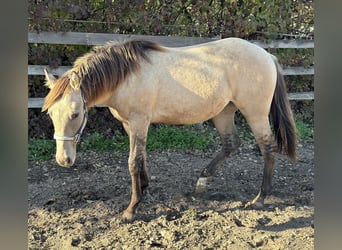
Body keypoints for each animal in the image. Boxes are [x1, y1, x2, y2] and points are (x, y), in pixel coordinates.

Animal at [42, 37, 296, 221]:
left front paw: (131, 209)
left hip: (255, 113)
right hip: (223, 112)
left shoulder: (139, 120)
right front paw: (144, 188)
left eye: (75, 114)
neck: (126, 76)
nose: (64, 160)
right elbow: (141, 157)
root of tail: (266, 54)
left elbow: (133, 162)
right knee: (231, 143)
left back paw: (260, 198)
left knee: (267, 148)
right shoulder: (129, 124)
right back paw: (202, 182)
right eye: (51, 114)